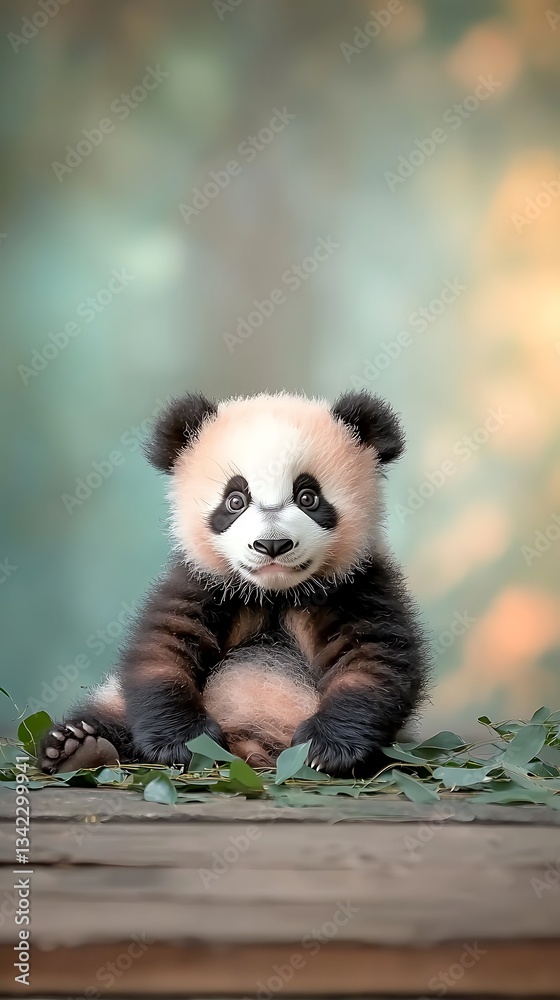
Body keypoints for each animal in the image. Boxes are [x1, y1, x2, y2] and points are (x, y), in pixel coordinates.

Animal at [40, 390, 428, 777]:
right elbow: (163, 651)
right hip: (116, 701)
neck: (275, 593)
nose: (272, 545)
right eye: (235, 501)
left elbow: (371, 662)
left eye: (308, 497)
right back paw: (78, 746)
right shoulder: (202, 583)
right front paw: (187, 742)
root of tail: (249, 747)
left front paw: (324, 747)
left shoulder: (357, 586)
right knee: (107, 714)